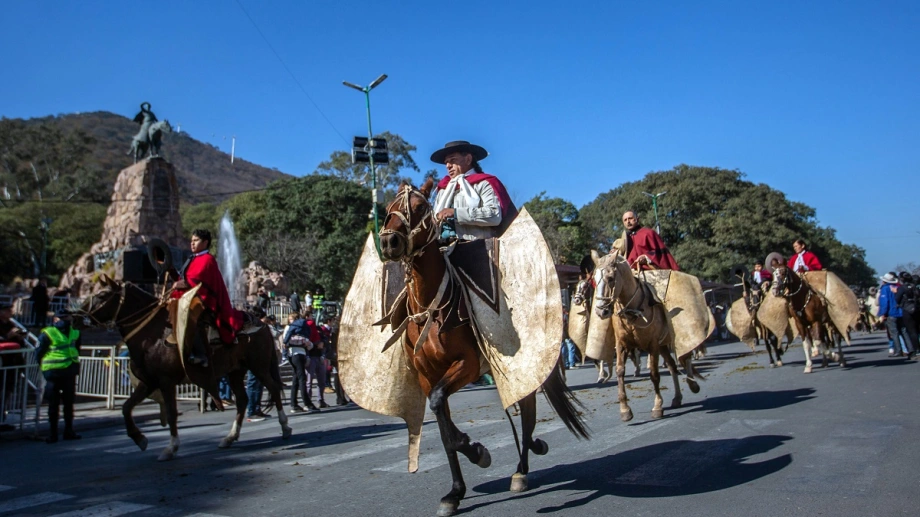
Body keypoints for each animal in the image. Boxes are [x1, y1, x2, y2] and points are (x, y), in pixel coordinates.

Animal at [82, 278, 292, 460]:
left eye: (102, 294)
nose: (81, 312)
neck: (153, 335)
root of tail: (262, 324)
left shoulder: (166, 381)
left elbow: (171, 413)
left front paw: (171, 447)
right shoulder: (149, 382)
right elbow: (126, 407)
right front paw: (139, 438)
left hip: (258, 365)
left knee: (273, 389)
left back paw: (285, 427)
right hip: (235, 371)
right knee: (242, 400)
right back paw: (230, 437)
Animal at [380, 178, 588, 516]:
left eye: (421, 207)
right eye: (388, 208)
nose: (389, 242)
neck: (430, 308)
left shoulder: (467, 365)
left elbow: (441, 409)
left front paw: (476, 452)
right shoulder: (426, 375)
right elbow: (442, 424)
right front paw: (456, 489)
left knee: (527, 415)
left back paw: (521, 470)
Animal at [588, 252, 696, 422]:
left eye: (610, 278)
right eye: (593, 278)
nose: (601, 311)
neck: (633, 311)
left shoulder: (652, 345)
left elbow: (654, 374)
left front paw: (657, 407)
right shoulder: (622, 345)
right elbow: (620, 372)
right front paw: (625, 410)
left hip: (671, 341)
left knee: (686, 357)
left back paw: (693, 385)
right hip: (663, 346)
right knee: (672, 365)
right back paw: (677, 397)